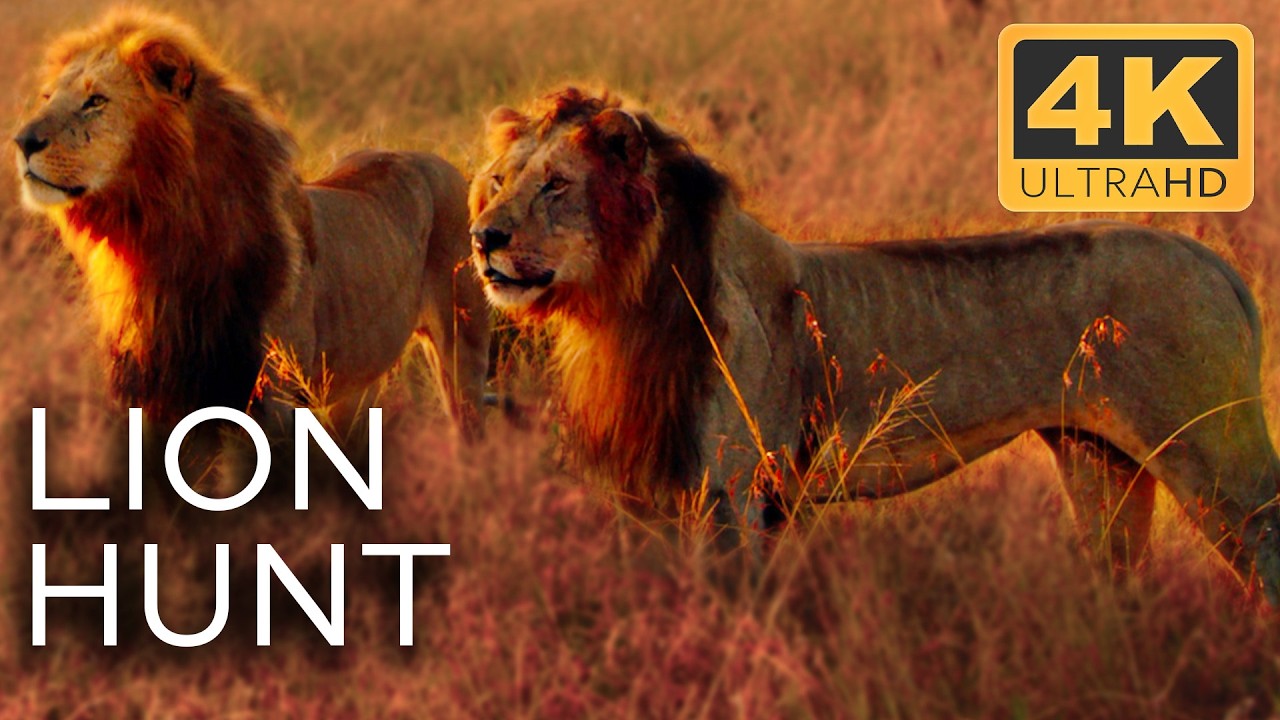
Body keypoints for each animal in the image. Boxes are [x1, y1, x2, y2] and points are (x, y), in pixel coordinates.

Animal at [13, 9, 490, 437]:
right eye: (47, 98)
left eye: (95, 101)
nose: (22, 141)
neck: (152, 239)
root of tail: (439, 161)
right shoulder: (155, 398)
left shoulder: (273, 400)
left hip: (461, 351)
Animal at [469, 87, 1280, 603]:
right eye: (498, 182)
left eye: (555, 185)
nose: (483, 238)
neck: (621, 305)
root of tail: (1215, 262)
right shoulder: (667, 497)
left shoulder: (735, 492)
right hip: (1101, 464)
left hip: (1217, 463)